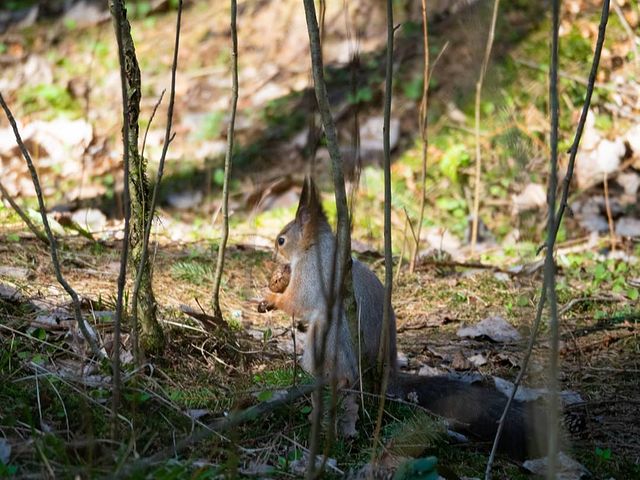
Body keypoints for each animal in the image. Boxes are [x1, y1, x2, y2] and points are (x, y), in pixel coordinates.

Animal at [259, 177, 556, 460]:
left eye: (281, 240)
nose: (272, 254)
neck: (315, 247)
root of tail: (386, 372)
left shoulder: (313, 273)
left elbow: (298, 302)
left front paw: (271, 298)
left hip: (329, 336)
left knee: (342, 375)